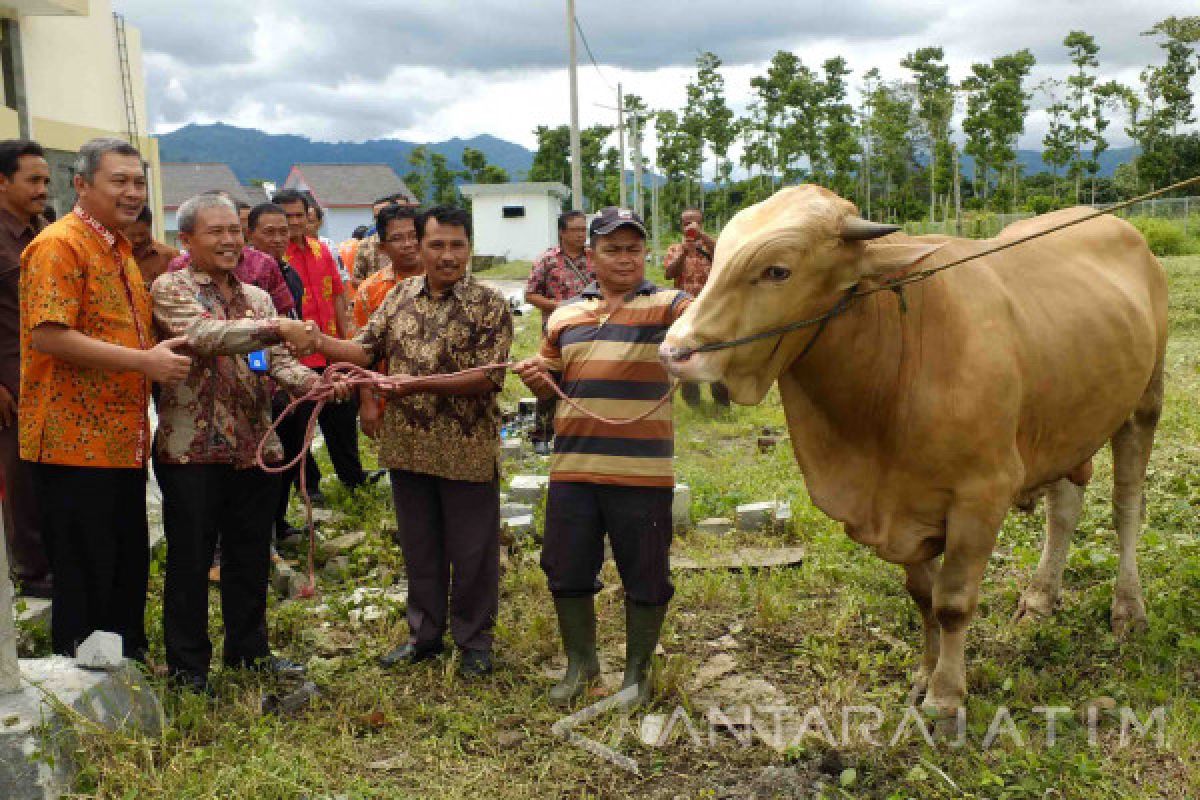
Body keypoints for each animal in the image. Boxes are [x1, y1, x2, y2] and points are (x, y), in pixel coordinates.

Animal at [662, 188, 1166, 714]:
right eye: (717, 256)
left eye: (777, 270)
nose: (675, 351)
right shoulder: (899, 507)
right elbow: (924, 595)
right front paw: (926, 672)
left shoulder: (982, 495)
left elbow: (953, 601)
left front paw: (946, 695)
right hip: (1069, 422)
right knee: (1064, 508)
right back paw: (1040, 599)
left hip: (1143, 405)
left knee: (1126, 508)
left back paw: (1128, 607)